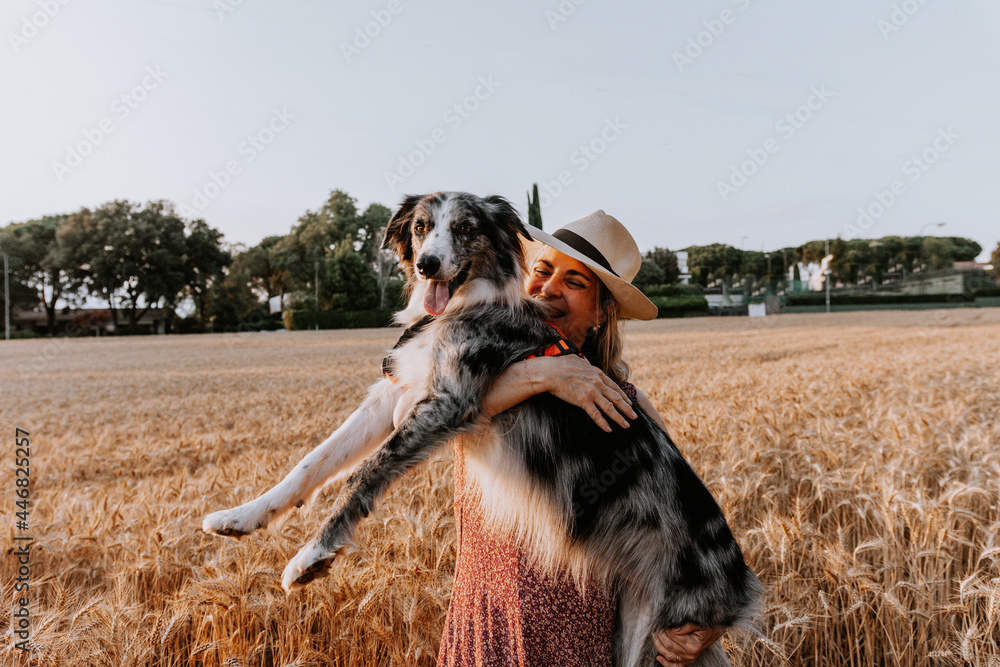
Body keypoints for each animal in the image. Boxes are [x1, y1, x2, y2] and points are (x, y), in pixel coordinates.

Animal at [205, 193, 764, 667]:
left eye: (467, 229)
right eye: (421, 227)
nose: (428, 264)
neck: (461, 307)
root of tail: (742, 584)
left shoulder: (449, 402)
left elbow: (361, 476)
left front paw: (311, 557)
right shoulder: (393, 396)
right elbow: (312, 463)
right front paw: (242, 517)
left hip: (656, 633)